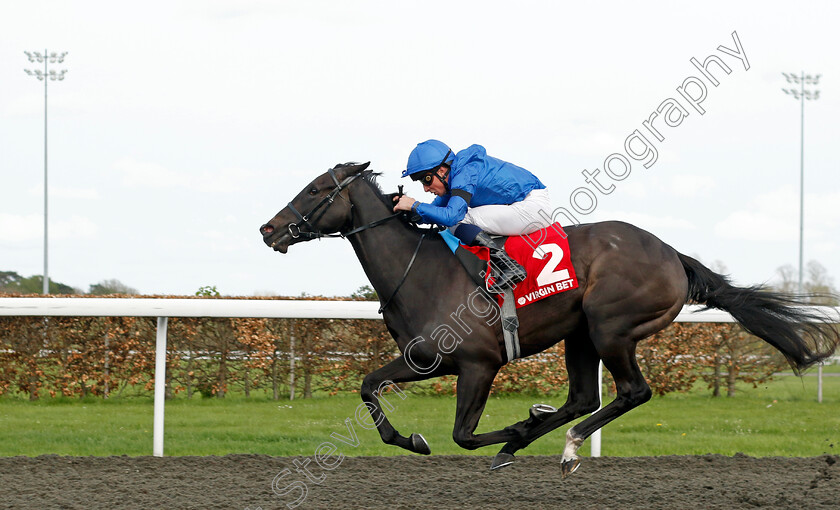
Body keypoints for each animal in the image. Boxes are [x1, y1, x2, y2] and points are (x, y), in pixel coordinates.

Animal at [260, 161, 836, 476]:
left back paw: (566, 445)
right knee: (583, 396)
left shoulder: (479, 364)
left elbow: (464, 435)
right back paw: (547, 432)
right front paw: (415, 441)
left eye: (316, 189)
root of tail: (672, 254)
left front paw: (515, 431)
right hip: (579, 335)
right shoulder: (425, 360)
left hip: (610, 327)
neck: (421, 271)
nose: (268, 229)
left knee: (630, 392)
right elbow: (368, 387)